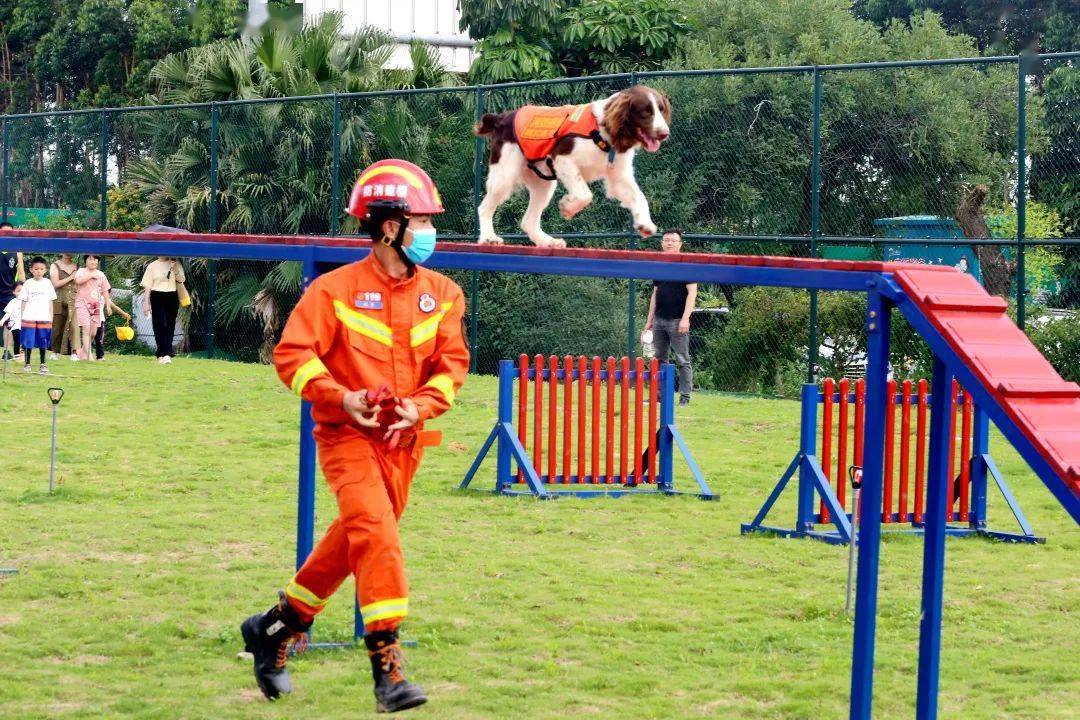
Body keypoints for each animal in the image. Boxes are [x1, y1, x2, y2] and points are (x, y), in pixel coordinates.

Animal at [477, 85, 669, 249]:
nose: (665, 133)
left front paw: (645, 224)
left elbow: (639, 197)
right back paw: (489, 238)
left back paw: (548, 242)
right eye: (645, 112)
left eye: (661, 110)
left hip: (543, 184)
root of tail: (502, 118)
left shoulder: (619, 177)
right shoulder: (563, 160)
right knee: (484, 208)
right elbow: (585, 194)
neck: (603, 132)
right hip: (504, 174)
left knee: (528, 221)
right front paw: (568, 207)